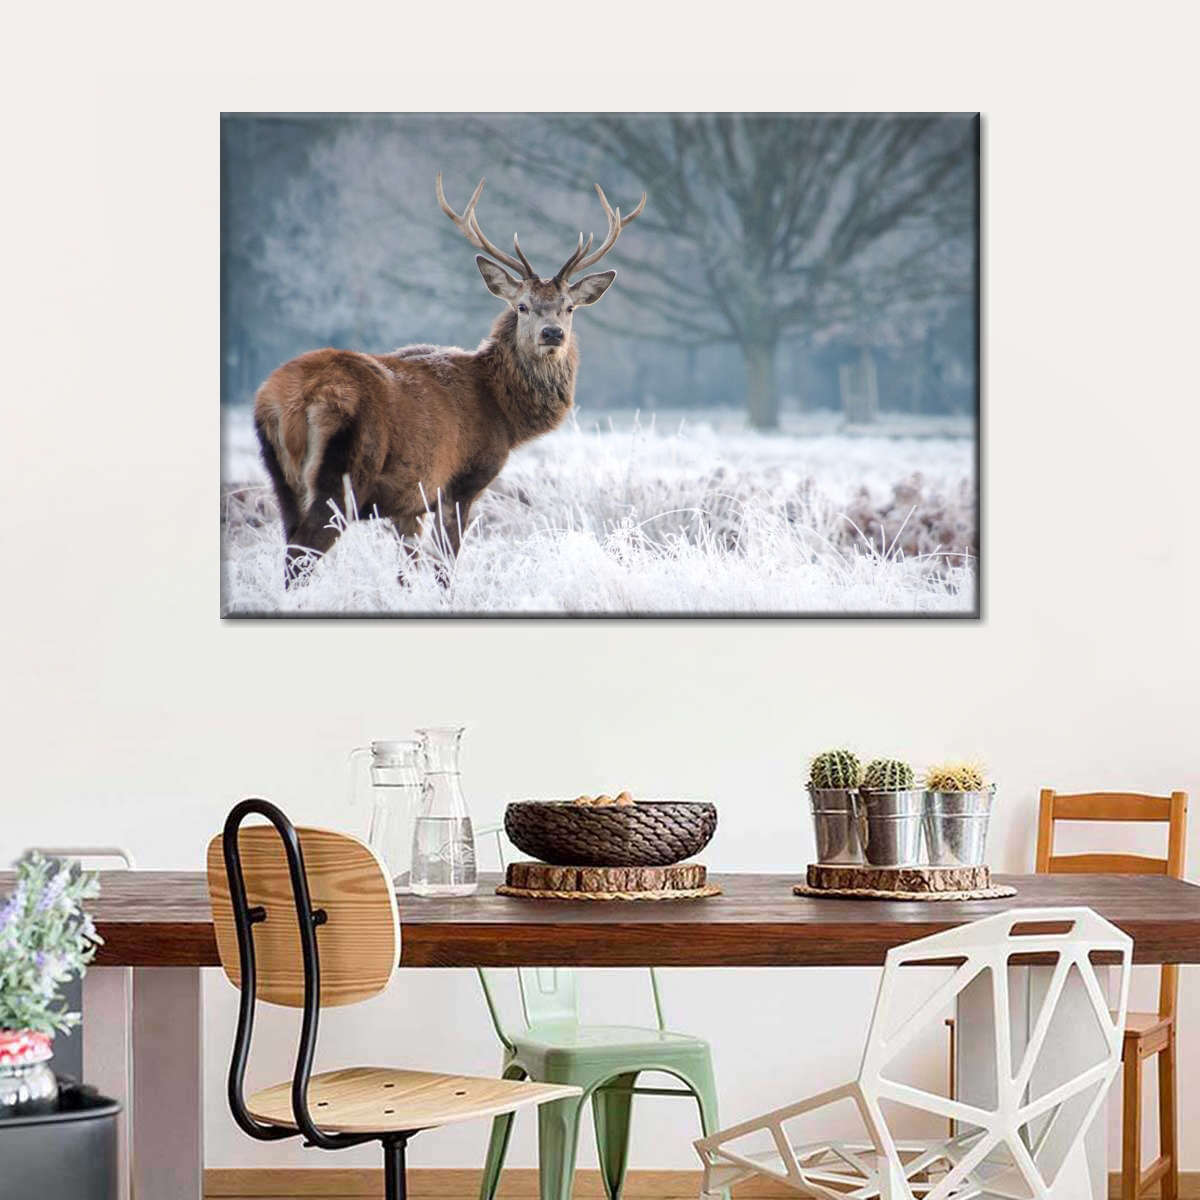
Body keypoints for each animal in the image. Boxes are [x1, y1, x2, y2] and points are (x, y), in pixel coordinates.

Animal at [253, 174, 645, 586]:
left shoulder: (408, 501)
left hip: (281, 478)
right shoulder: (460, 484)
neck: (503, 414)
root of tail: (288, 402)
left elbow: (407, 572)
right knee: (300, 558)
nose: (552, 333)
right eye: (522, 306)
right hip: (342, 473)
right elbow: (444, 568)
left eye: (569, 308)